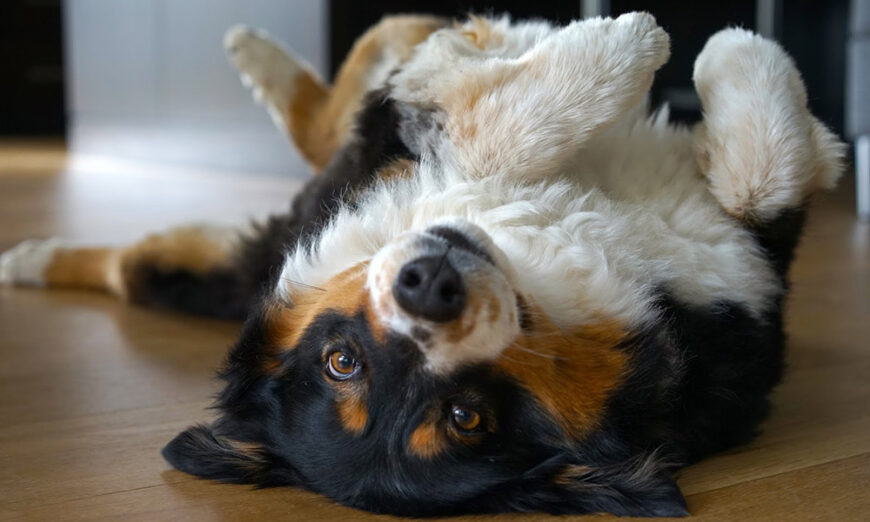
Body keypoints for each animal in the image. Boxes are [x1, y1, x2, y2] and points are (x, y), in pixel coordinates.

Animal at [0, 12, 844, 516]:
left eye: (467, 417)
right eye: (344, 362)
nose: (429, 285)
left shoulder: (743, 262)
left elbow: (762, 176)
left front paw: (783, 105)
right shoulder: (412, 130)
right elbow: (490, 120)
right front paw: (641, 47)